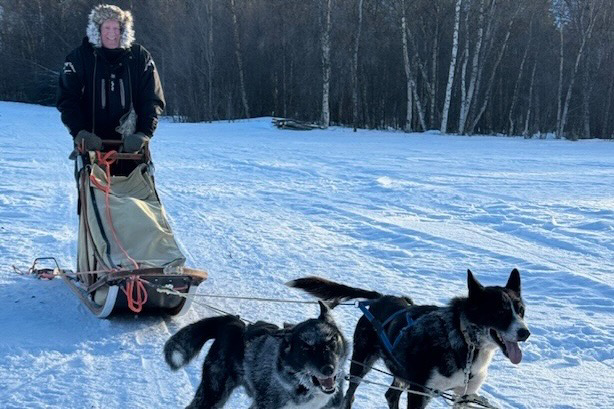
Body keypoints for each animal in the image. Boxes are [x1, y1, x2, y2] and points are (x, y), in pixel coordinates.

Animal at [290, 270, 536, 406]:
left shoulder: (463, 396)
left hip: (401, 372)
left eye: (521, 310)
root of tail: (381, 298)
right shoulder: (419, 392)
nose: (525, 333)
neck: (464, 342)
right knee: (349, 396)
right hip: (361, 364)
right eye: (500, 312)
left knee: (391, 395)